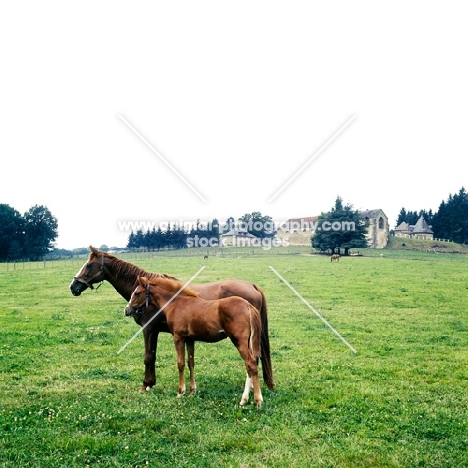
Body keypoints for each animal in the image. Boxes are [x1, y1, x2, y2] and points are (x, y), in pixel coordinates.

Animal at [126, 276, 266, 408]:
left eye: (137, 293)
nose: (127, 310)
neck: (177, 303)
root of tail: (248, 306)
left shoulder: (178, 338)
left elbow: (180, 363)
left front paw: (180, 392)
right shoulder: (190, 339)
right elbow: (191, 362)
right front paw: (192, 391)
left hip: (239, 341)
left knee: (251, 363)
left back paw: (257, 400)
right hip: (247, 342)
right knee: (250, 365)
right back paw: (244, 400)